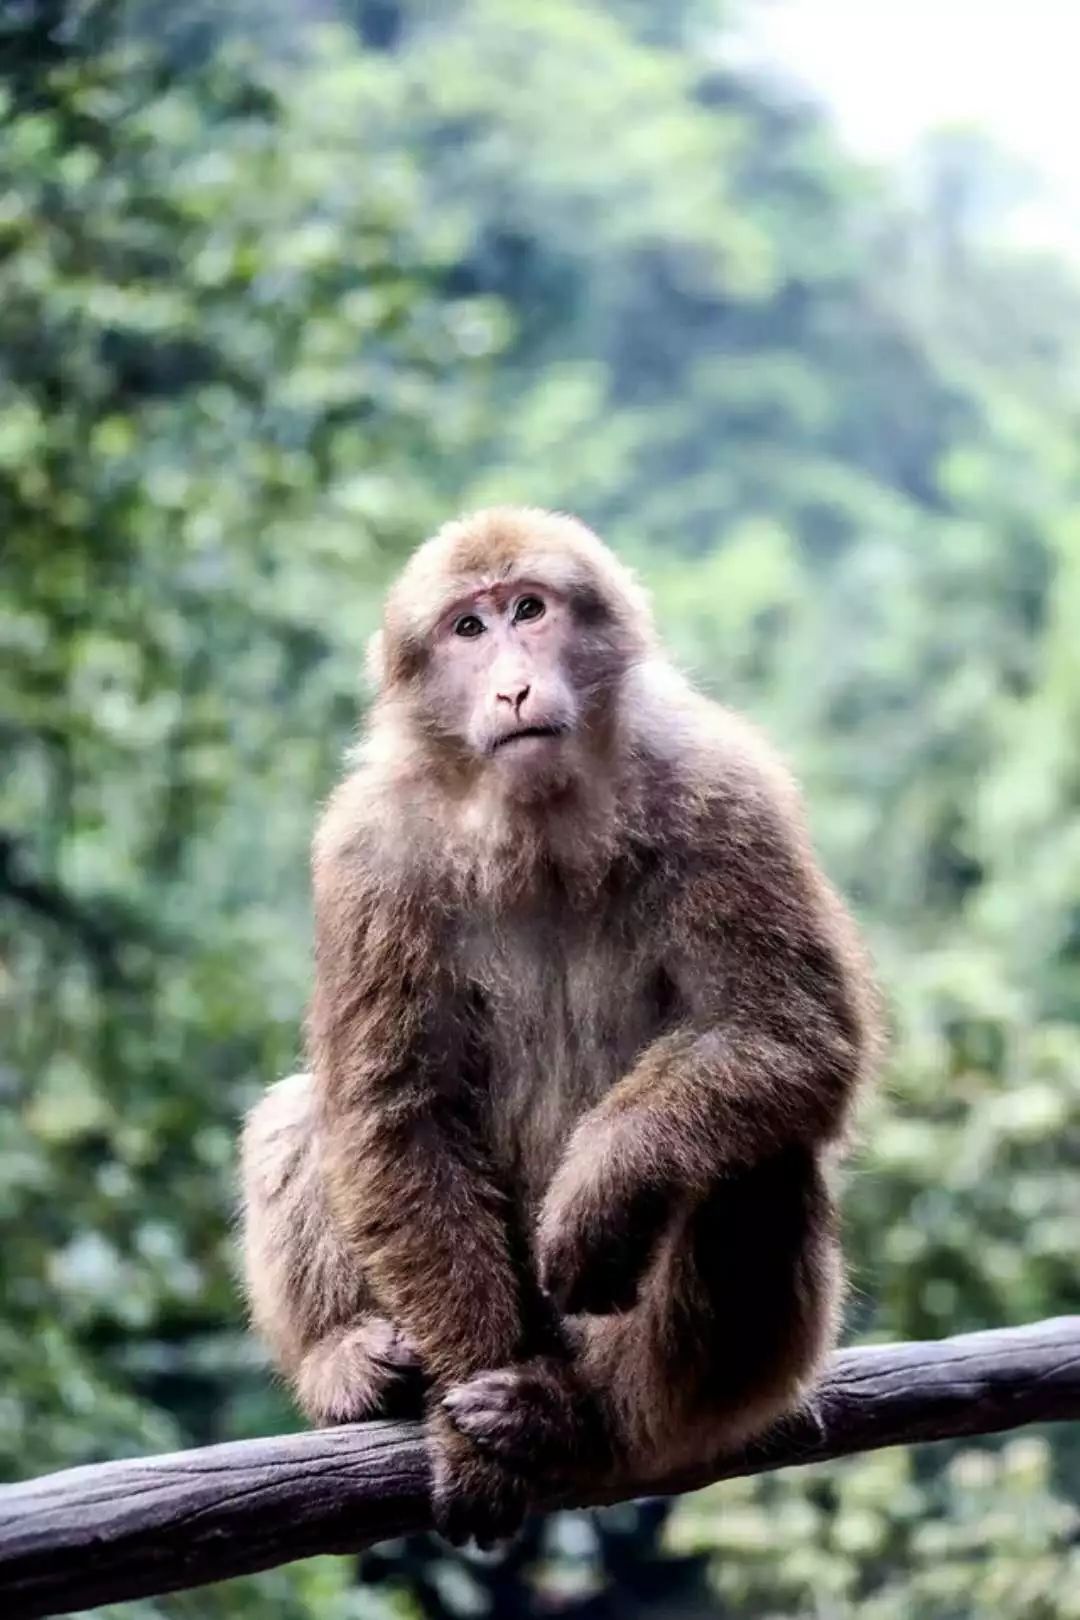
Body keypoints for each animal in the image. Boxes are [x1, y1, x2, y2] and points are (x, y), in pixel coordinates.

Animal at [241, 502, 880, 1542]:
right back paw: (351, 1364)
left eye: (530, 611)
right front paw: (471, 1428)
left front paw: (601, 1190)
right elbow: (398, 1113)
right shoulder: (368, 852)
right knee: (303, 1110)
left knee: (755, 1160)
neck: (534, 820)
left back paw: (585, 1418)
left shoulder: (724, 788)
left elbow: (790, 1031)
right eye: (469, 627)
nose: (512, 684)